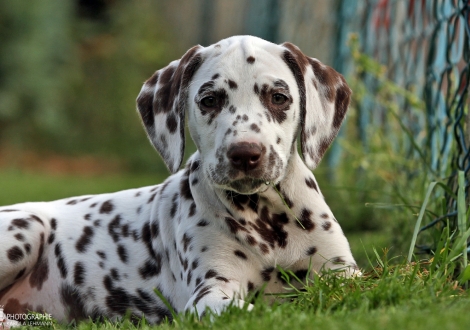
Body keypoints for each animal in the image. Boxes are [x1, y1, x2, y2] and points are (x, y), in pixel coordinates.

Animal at [0, 35, 358, 322]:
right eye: (209, 100)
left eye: (279, 97)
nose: (245, 153)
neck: (266, 219)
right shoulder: (211, 291)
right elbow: (242, 310)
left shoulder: (343, 273)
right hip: (28, 227)